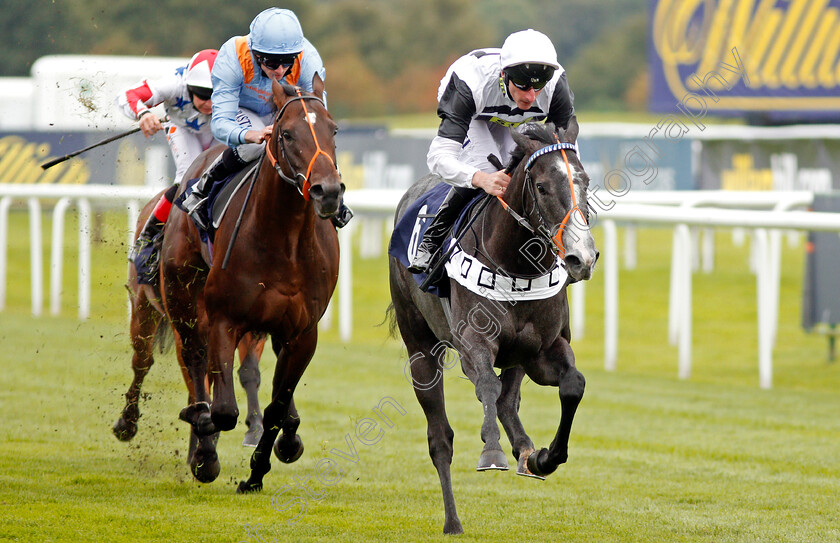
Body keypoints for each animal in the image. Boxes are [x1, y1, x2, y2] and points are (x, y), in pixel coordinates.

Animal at [110, 193, 264, 452]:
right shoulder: (188, 328)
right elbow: (198, 383)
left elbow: (248, 370)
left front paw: (254, 428)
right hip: (143, 307)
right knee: (143, 361)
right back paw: (127, 423)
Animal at [158, 79, 342, 488]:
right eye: (286, 134)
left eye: (333, 130)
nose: (328, 191)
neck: (285, 240)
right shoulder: (225, 319)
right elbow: (224, 410)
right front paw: (205, 447)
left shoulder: (303, 332)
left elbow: (276, 407)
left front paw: (259, 471)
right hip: (183, 297)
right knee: (195, 363)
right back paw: (201, 438)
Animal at [388, 120, 596, 536]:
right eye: (543, 186)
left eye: (584, 181)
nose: (582, 257)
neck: (517, 265)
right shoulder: (473, 344)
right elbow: (486, 384)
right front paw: (492, 451)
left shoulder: (543, 350)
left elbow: (572, 384)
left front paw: (546, 456)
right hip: (419, 345)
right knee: (441, 437)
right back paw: (453, 520)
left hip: (516, 355)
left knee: (507, 399)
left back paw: (527, 452)